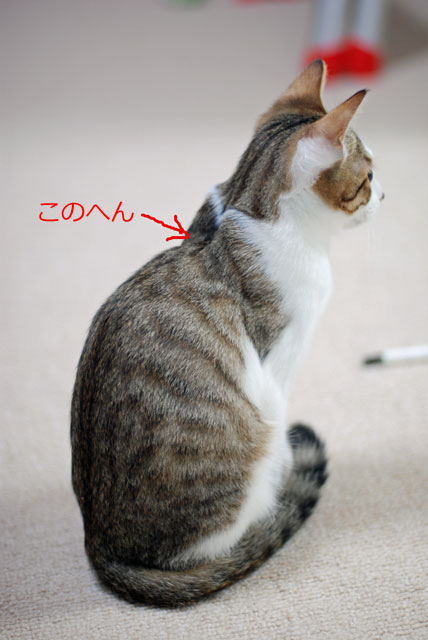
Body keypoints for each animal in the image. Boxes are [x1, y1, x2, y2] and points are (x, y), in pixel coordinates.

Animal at [71, 59, 384, 608]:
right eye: (367, 177)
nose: (385, 195)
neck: (248, 209)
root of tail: (102, 548)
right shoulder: (277, 367)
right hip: (252, 446)